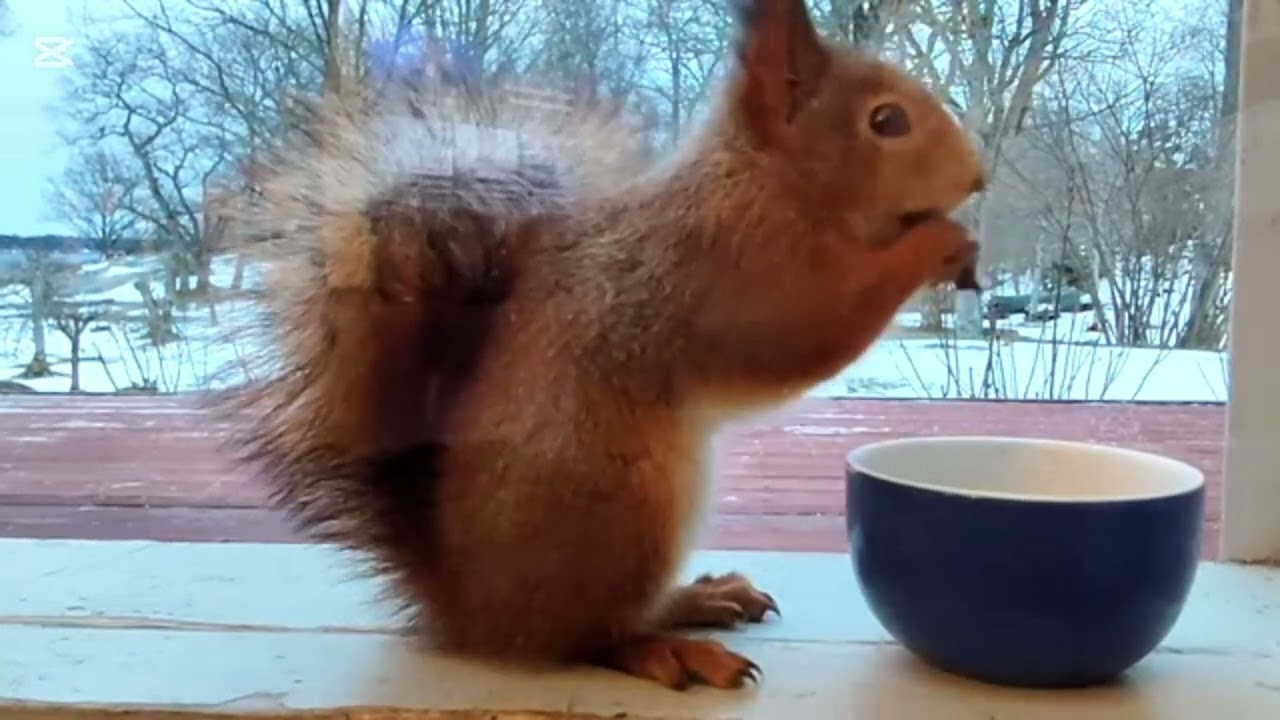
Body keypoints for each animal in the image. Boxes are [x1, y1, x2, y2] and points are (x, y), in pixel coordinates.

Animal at [210, 0, 986, 692]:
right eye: (886, 122)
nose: (977, 178)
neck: (766, 183)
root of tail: (467, 606)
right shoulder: (731, 273)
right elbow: (808, 330)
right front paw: (937, 243)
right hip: (622, 511)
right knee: (581, 638)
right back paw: (666, 650)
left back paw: (699, 598)